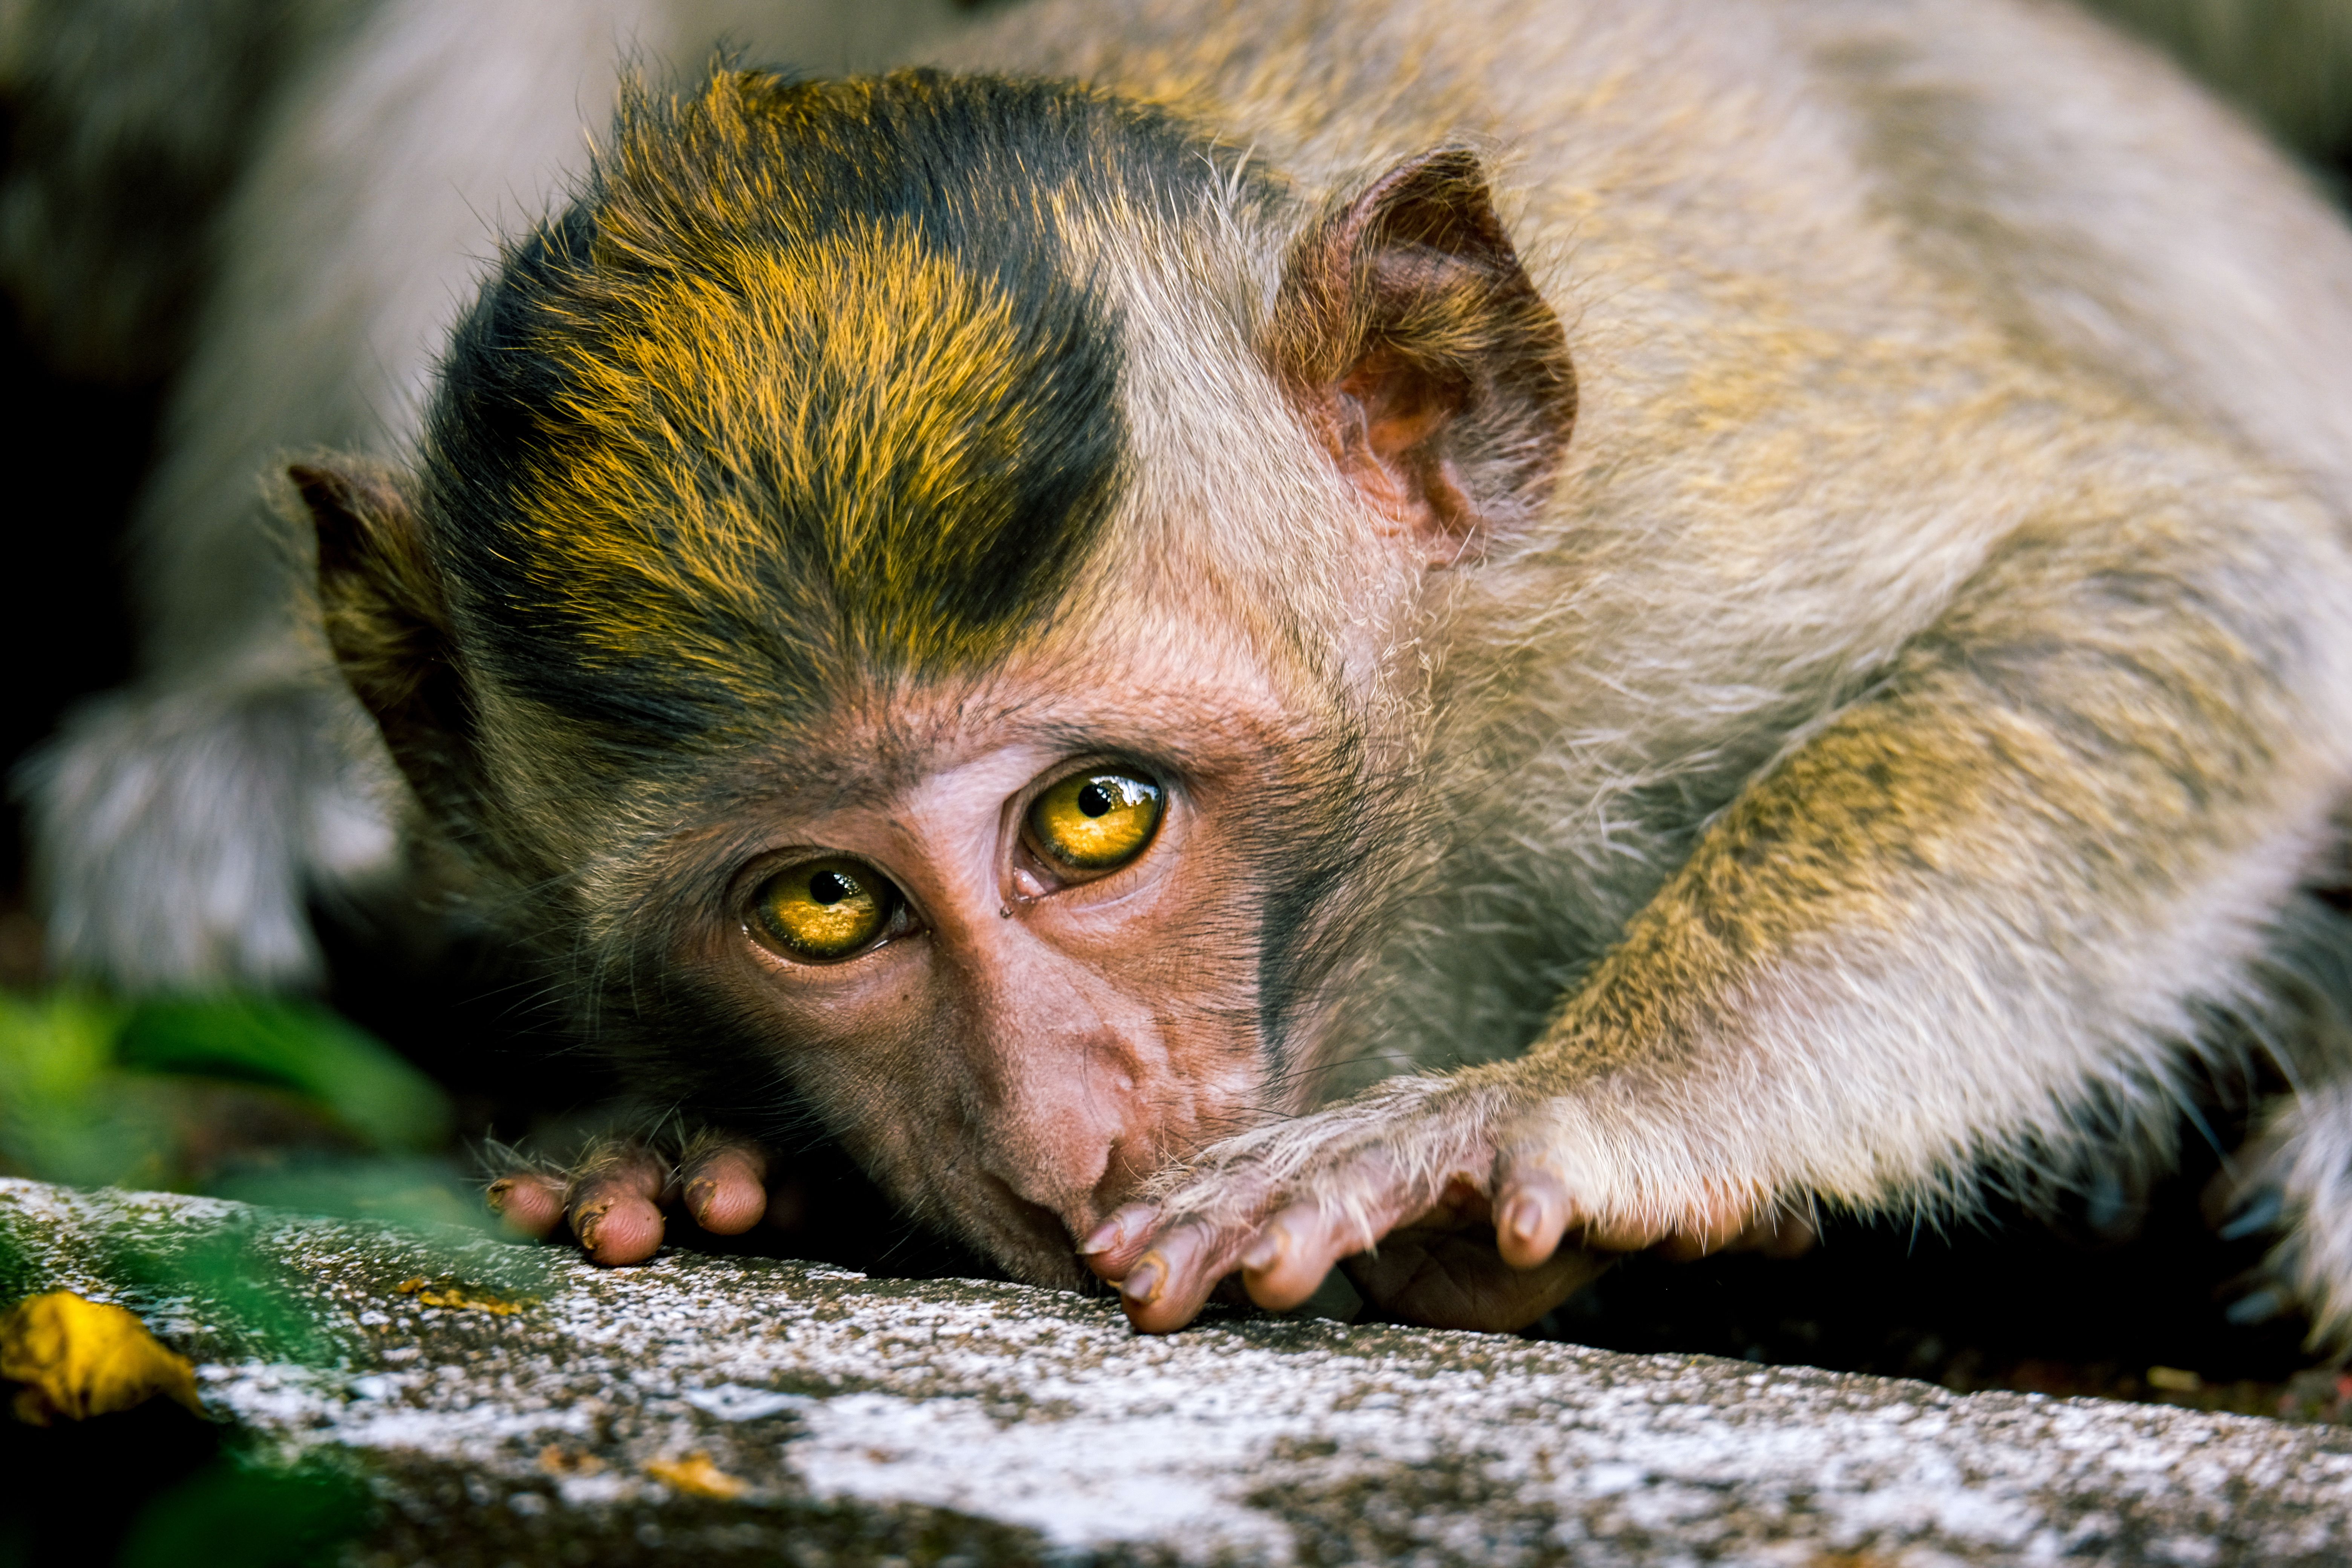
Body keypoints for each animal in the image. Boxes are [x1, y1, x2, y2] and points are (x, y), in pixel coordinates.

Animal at [269, 0, 2352, 1341]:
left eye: (1096, 816)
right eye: (823, 903)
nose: (1065, 1140)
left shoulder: (1658, 552)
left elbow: (2200, 588)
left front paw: (1535, 1113)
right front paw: (686, 1153)